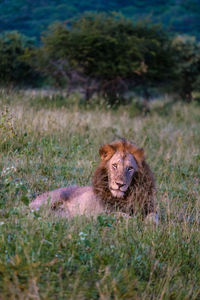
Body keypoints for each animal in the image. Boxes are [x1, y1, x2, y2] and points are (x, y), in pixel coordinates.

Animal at [29, 139, 158, 223]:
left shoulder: (149, 208)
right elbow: (123, 216)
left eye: (130, 168)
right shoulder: (103, 213)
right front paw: (135, 222)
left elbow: (153, 217)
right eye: (114, 166)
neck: (125, 197)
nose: (119, 184)